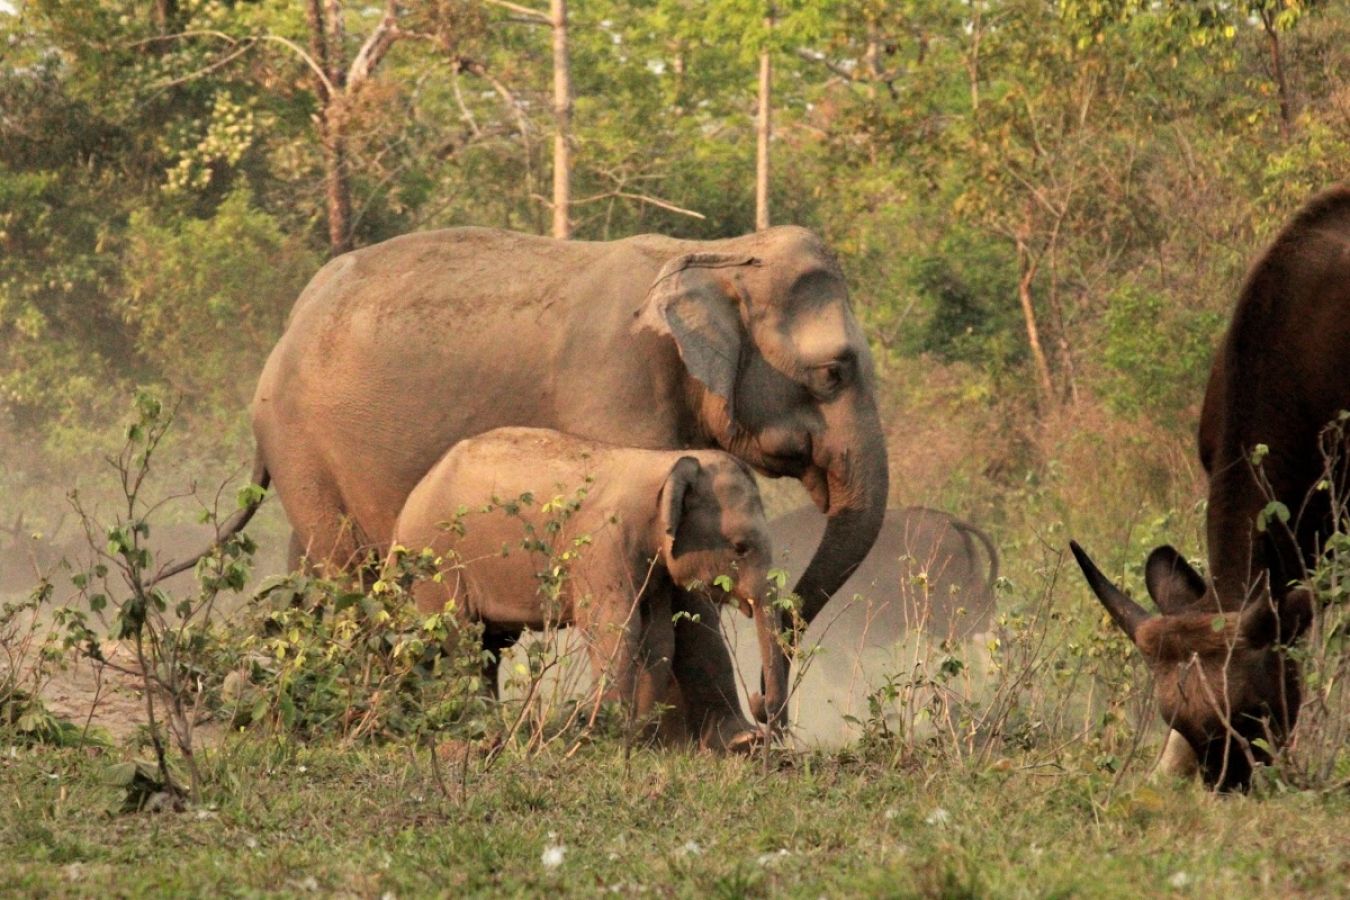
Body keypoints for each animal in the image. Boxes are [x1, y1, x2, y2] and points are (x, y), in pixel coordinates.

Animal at [388, 429, 788, 755]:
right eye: (740, 547)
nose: (760, 702)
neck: (662, 464)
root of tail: (409, 502)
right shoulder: (602, 544)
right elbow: (613, 628)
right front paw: (606, 735)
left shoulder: (654, 567)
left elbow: (658, 637)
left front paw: (641, 742)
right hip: (435, 560)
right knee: (459, 641)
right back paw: (478, 732)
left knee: (489, 646)